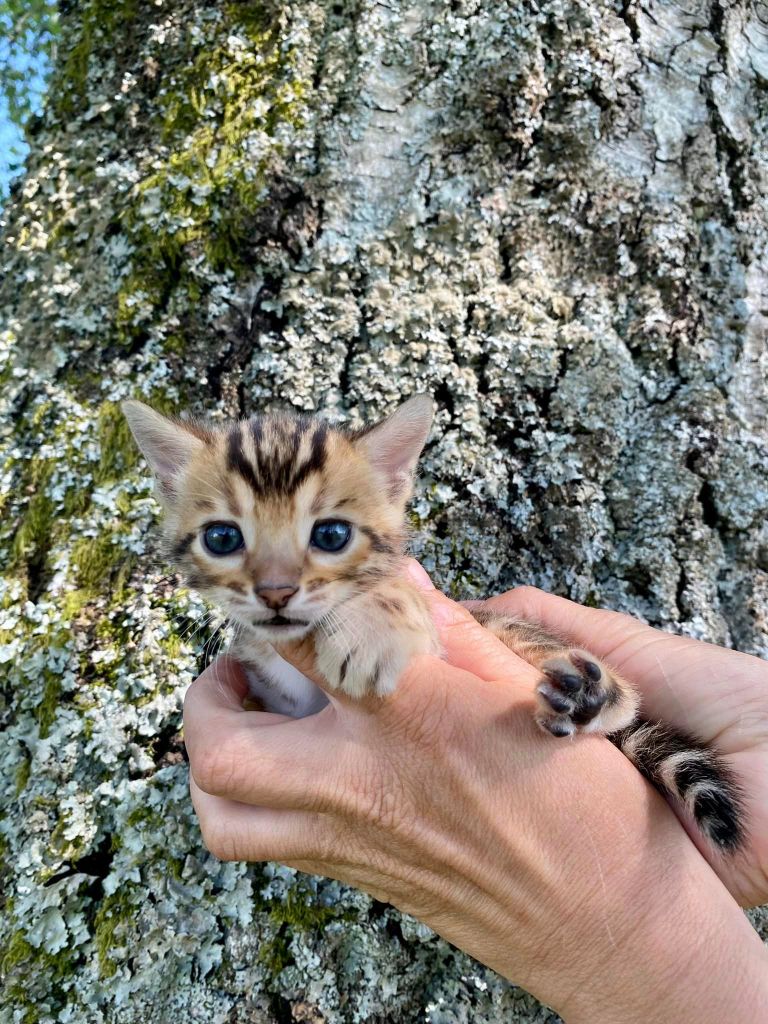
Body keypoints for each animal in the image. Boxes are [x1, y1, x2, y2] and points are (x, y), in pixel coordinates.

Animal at [124, 395, 745, 851]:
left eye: (331, 534)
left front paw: (369, 629)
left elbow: (397, 593)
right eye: (221, 538)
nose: (276, 591)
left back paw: (593, 696)